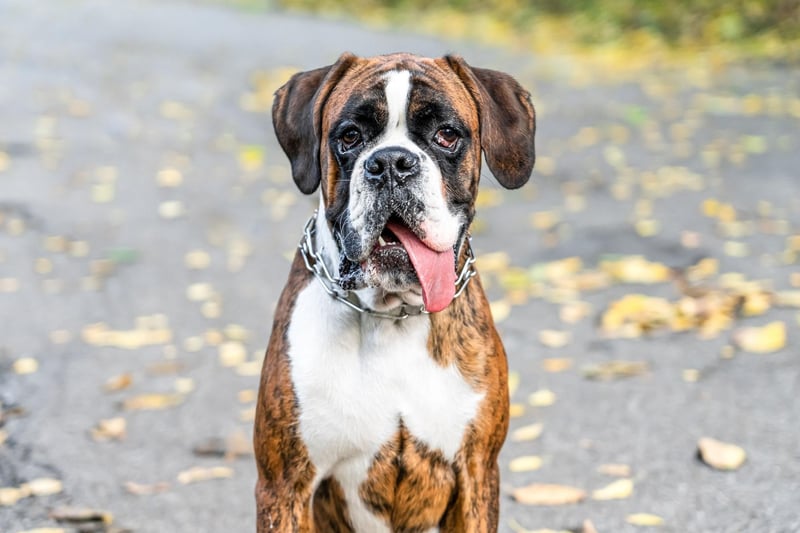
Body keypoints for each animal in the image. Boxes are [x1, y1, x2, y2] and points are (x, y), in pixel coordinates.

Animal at [253, 51, 536, 532]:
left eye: (446, 135)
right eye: (350, 136)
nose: (390, 162)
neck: (393, 315)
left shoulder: (477, 476)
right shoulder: (284, 487)